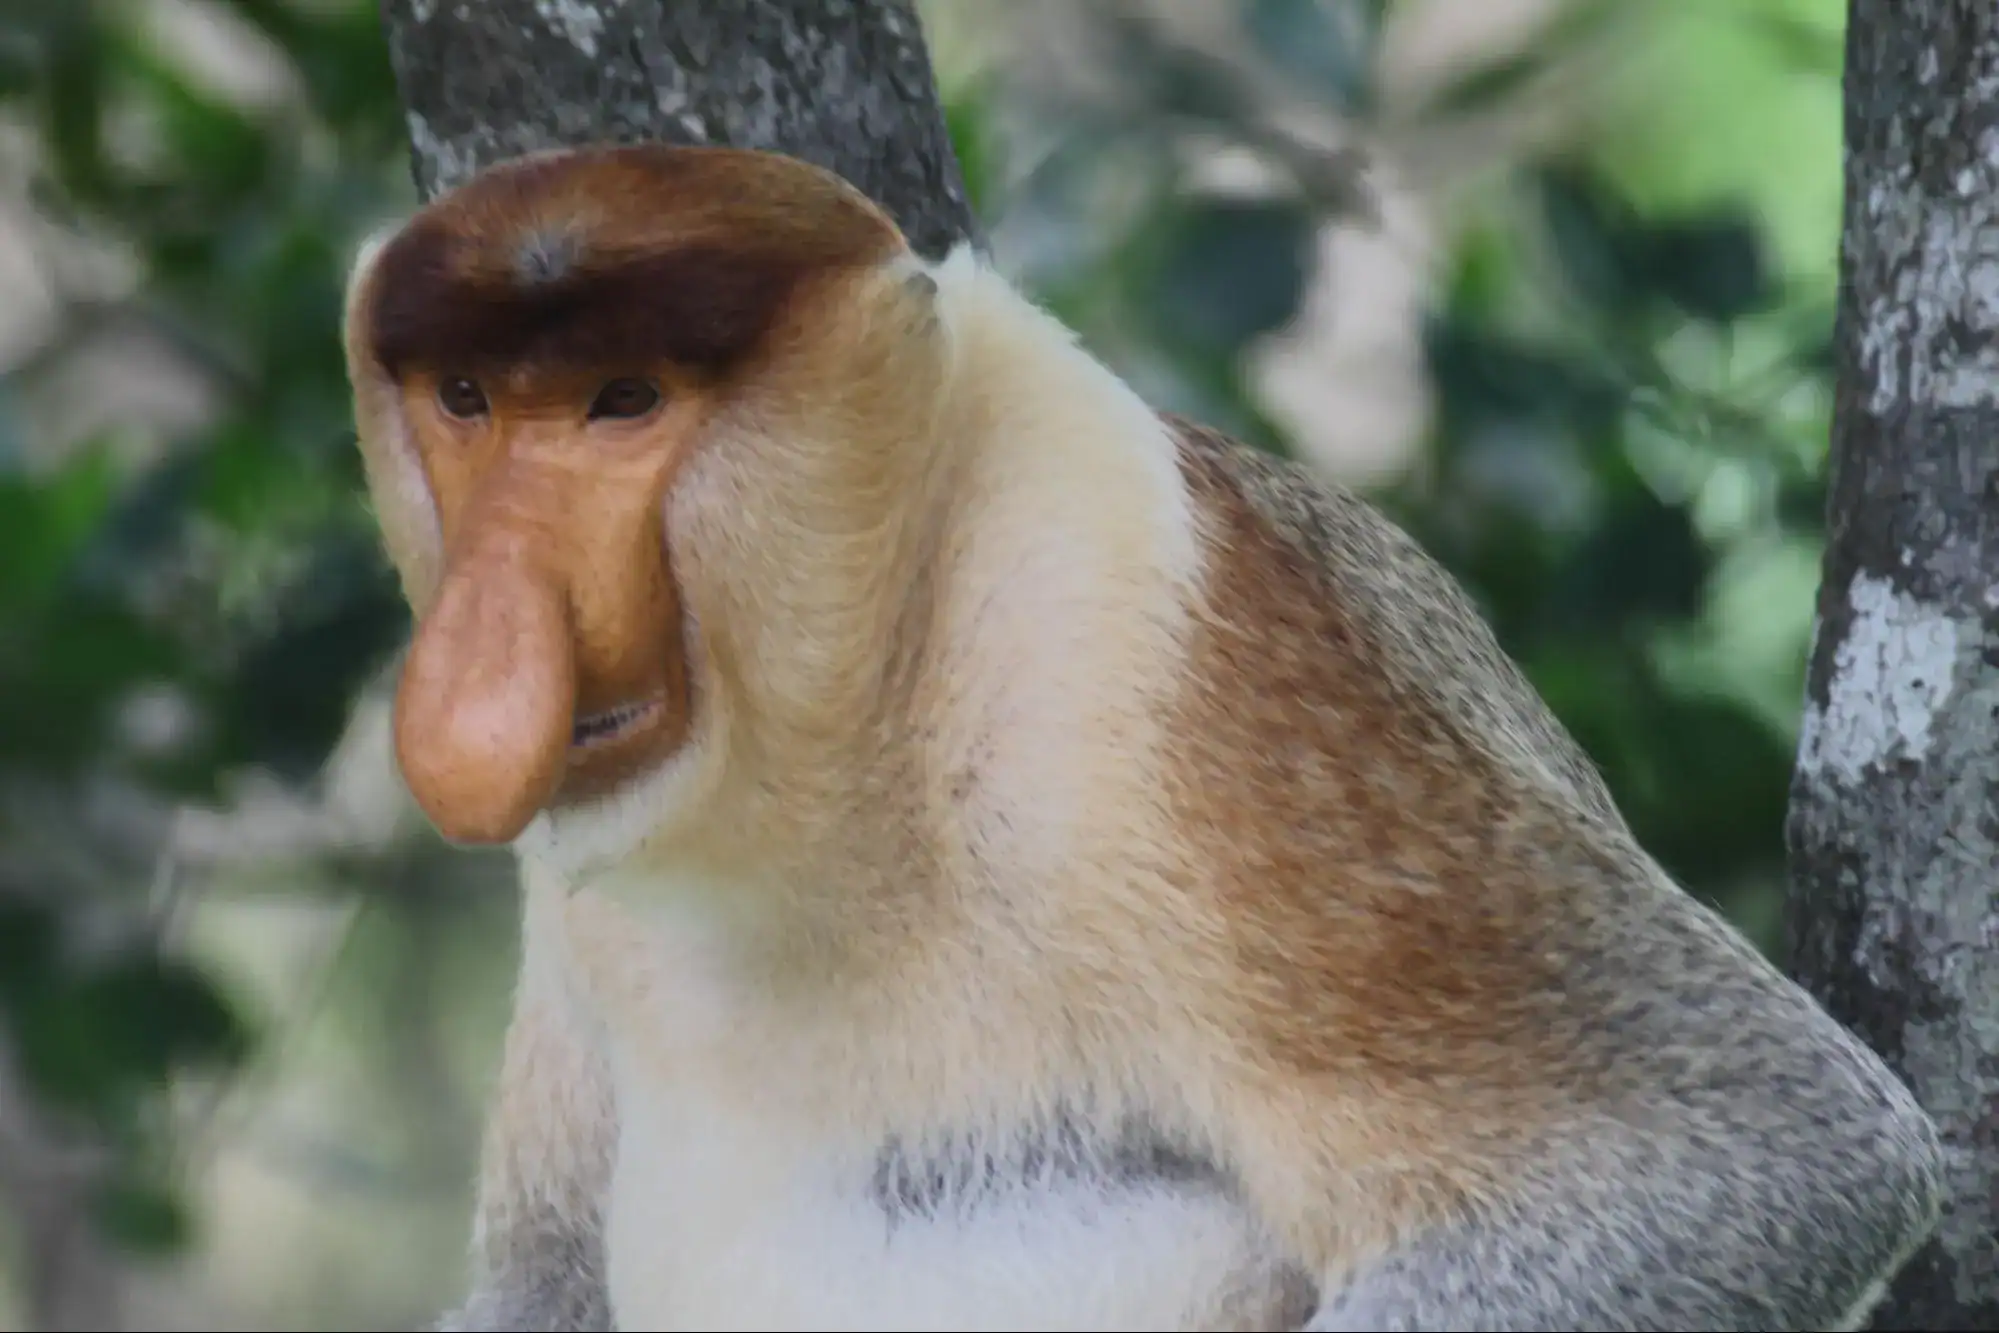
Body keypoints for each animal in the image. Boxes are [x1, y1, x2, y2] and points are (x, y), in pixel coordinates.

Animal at [341, 142, 1944, 1332]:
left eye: (625, 401)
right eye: (467, 400)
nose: (479, 653)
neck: (856, 721)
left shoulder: (1134, 659)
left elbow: (1760, 1146)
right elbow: (540, 1273)